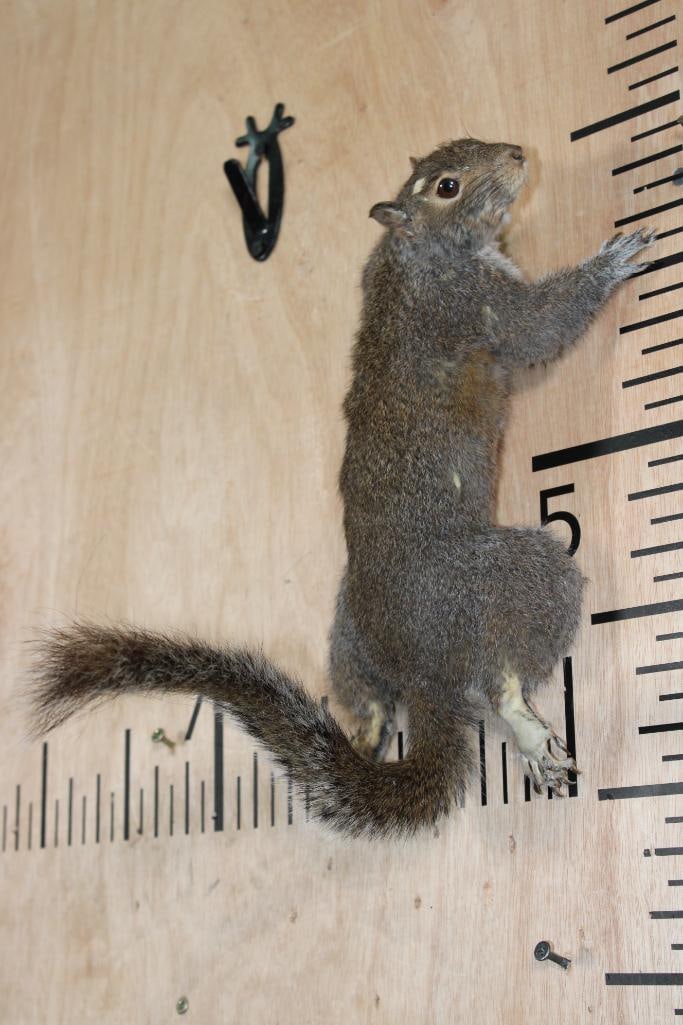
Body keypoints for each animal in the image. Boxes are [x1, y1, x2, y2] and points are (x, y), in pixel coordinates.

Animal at [30, 137, 655, 838]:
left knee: (370, 690)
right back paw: (525, 729)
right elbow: (539, 325)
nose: (519, 154)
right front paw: (611, 262)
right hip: (514, 578)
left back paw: (371, 728)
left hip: (347, 631)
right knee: (502, 679)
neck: (413, 251)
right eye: (447, 185)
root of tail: (422, 676)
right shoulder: (469, 303)